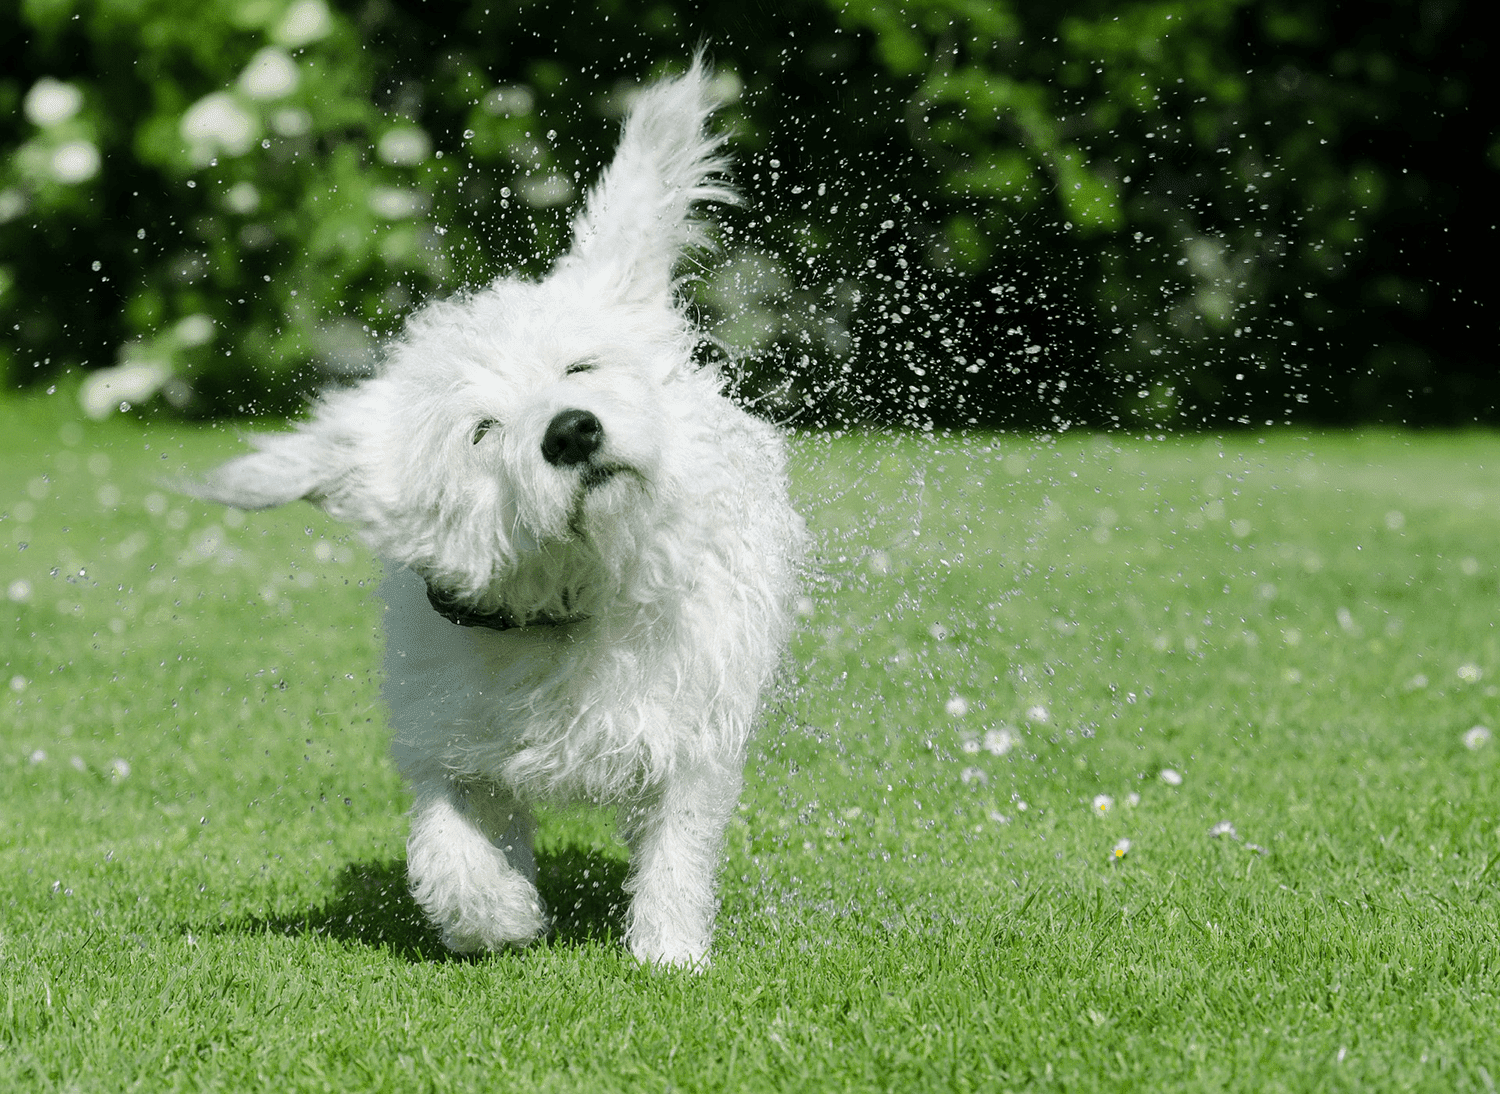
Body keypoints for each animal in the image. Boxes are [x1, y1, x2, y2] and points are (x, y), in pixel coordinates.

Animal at [190, 59, 810, 966]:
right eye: (482, 432)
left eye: (579, 368)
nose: (572, 430)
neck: (566, 602)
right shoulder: (451, 740)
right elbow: (447, 845)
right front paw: (501, 916)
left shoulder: (686, 732)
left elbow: (677, 843)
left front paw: (668, 954)